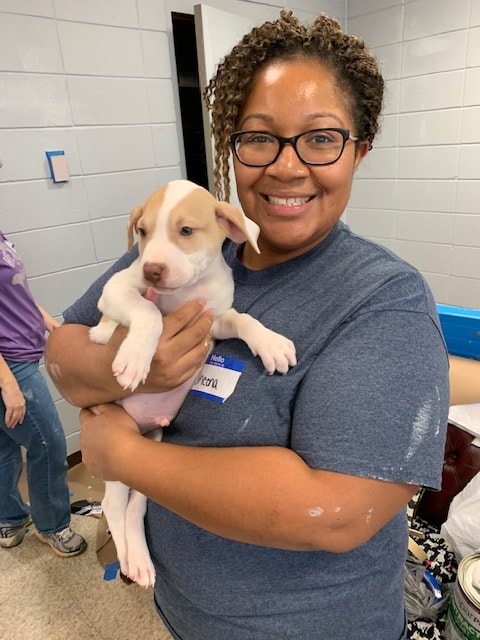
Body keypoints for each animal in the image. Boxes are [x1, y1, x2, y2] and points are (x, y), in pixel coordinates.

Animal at [88, 178, 294, 588]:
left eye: (186, 231)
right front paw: (135, 357)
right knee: (113, 504)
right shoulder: (116, 291)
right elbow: (147, 310)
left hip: (149, 446)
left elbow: (244, 319)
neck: (184, 292)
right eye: (142, 232)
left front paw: (270, 343)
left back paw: (140, 560)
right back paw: (127, 558)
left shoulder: (216, 319)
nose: (152, 270)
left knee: (135, 506)